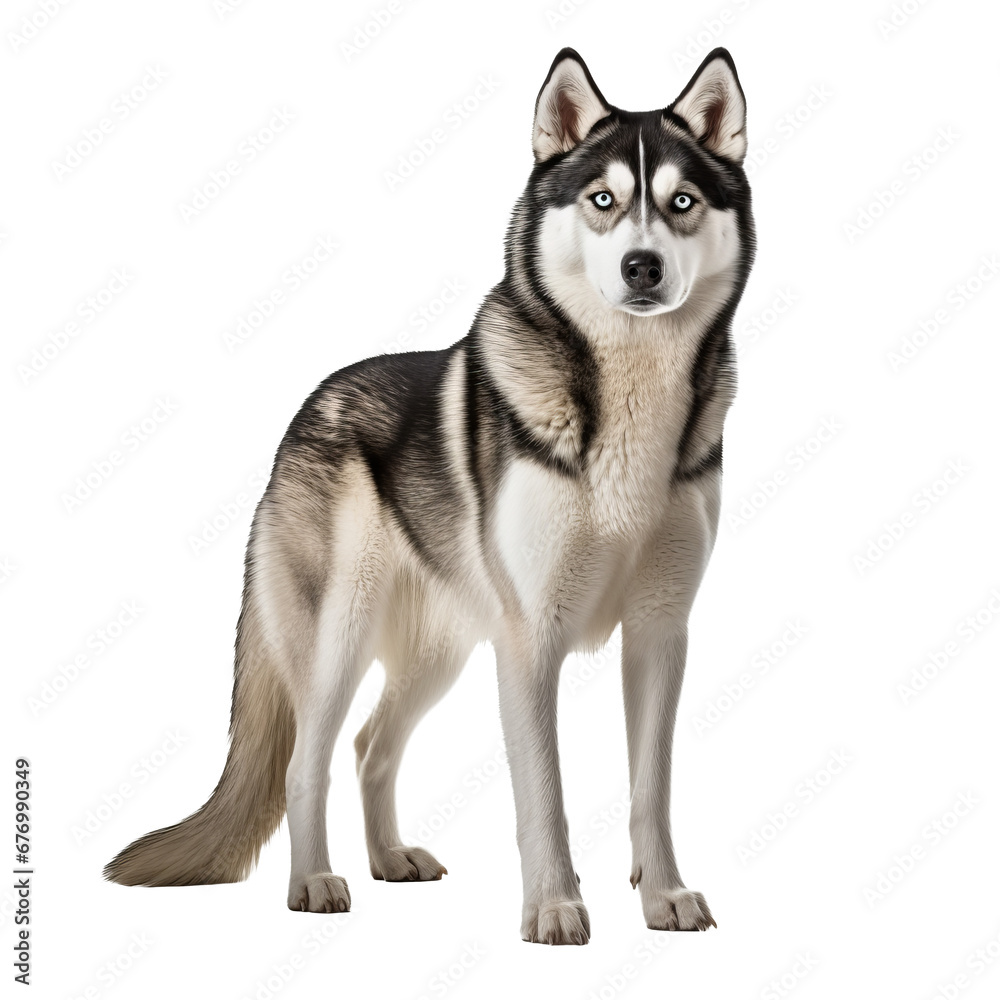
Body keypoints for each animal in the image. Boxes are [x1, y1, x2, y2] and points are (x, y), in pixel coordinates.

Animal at [105, 45, 752, 944]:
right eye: (603, 201)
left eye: (681, 202)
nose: (642, 266)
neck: (625, 397)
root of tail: (304, 409)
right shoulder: (531, 643)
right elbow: (543, 794)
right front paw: (555, 907)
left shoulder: (661, 633)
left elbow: (650, 790)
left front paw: (663, 897)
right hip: (338, 638)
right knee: (308, 762)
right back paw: (316, 881)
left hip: (439, 652)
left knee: (372, 744)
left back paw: (390, 860)